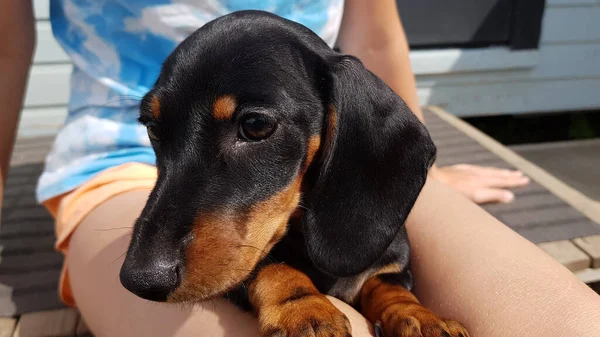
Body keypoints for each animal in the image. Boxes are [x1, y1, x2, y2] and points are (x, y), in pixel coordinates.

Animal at [118, 9, 468, 336]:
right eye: (153, 129)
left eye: (255, 124)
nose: (140, 280)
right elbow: (270, 264)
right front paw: (305, 310)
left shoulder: (393, 260)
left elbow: (388, 285)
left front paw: (422, 317)